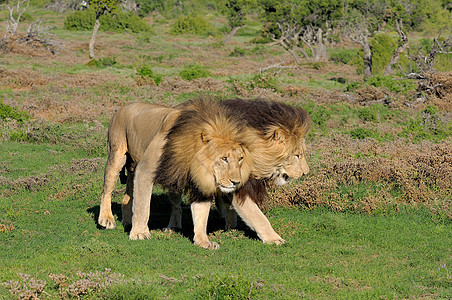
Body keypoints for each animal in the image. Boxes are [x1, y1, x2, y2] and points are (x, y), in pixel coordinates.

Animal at [97, 99, 256, 248]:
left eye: (240, 158)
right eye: (224, 158)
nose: (236, 182)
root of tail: (123, 107)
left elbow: (201, 214)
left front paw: (203, 241)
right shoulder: (145, 169)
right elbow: (143, 206)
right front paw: (139, 233)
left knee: (132, 197)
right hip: (116, 154)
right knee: (107, 190)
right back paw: (106, 219)